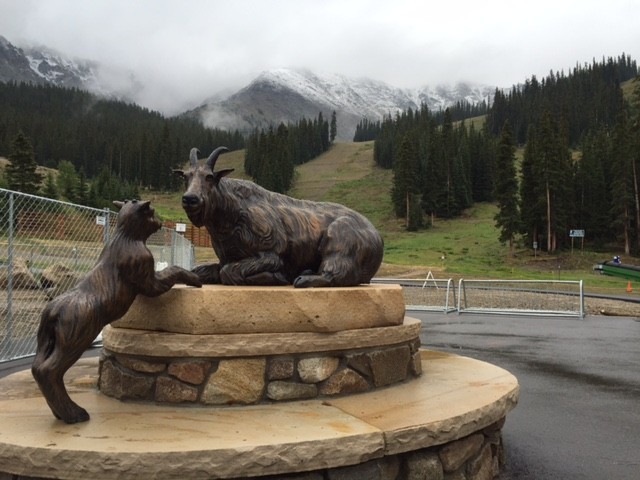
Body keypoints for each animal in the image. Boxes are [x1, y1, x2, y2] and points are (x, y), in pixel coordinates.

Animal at [31, 199, 202, 424]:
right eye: (152, 212)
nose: (159, 221)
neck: (125, 235)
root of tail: (53, 310)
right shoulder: (149, 281)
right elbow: (172, 270)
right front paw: (194, 277)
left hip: (46, 340)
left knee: (37, 367)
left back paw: (60, 413)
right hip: (76, 338)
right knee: (48, 371)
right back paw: (74, 414)